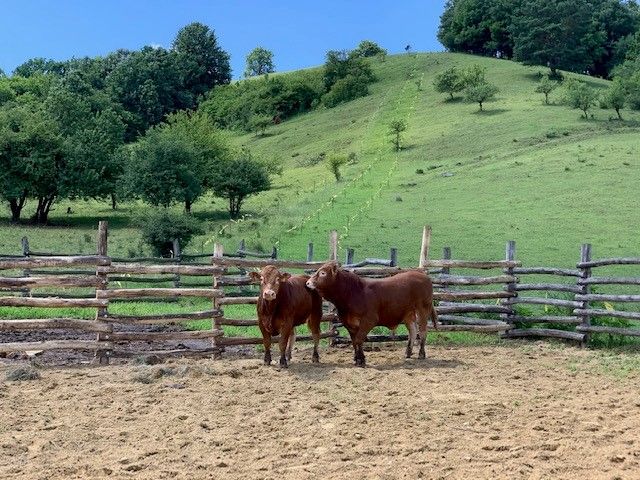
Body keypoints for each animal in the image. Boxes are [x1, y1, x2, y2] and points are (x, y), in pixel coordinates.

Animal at [306, 262, 438, 368]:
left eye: (322, 273)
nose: (307, 283)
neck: (353, 292)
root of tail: (423, 276)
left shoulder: (369, 320)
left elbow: (359, 339)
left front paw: (361, 360)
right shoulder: (349, 323)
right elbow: (354, 341)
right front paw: (357, 359)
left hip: (423, 310)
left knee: (423, 331)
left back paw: (421, 354)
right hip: (408, 313)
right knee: (413, 331)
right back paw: (408, 352)